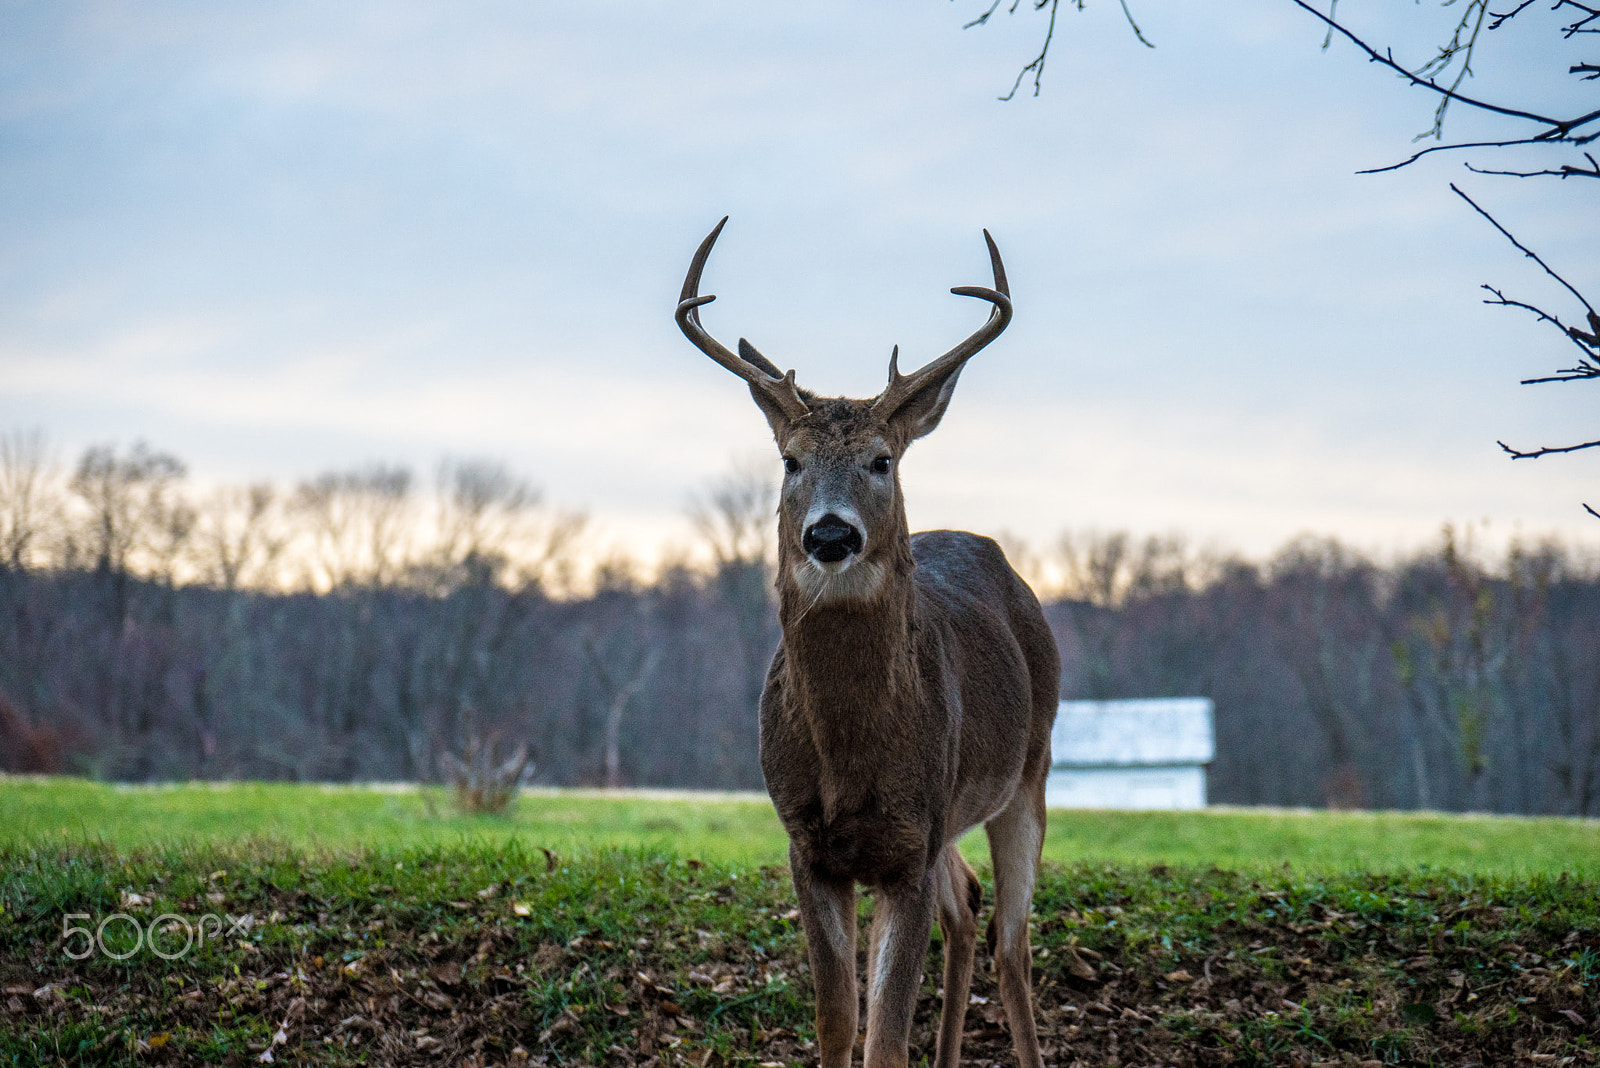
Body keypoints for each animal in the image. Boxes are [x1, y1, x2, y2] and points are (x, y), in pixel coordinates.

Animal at [675, 219, 1062, 1068]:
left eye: (882, 461)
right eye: (789, 461)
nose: (829, 534)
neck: (850, 761)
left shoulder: (907, 850)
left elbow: (884, 1033)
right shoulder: (809, 845)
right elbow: (836, 1020)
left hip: (1029, 772)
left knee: (1015, 946)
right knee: (968, 906)